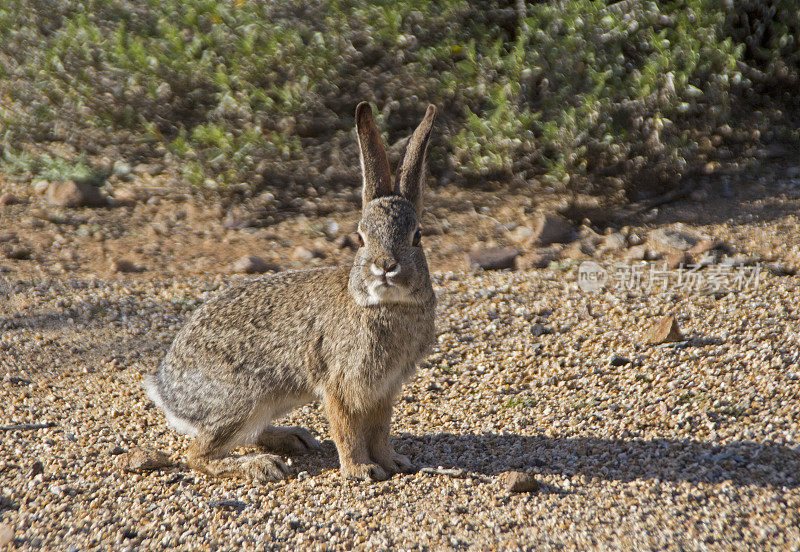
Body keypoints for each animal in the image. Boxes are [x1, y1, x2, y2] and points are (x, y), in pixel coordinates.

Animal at [144, 101, 438, 480]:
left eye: (417, 236)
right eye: (360, 238)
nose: (385, 267)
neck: (384, 305)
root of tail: (168, 392)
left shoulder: (385, 390)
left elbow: (380, 431)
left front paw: (393, 462)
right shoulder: (340, 384)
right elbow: (348, 431)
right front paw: (360, 470)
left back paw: (292, 438)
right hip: (243, 400)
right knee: (198, 454)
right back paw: (261, 465)